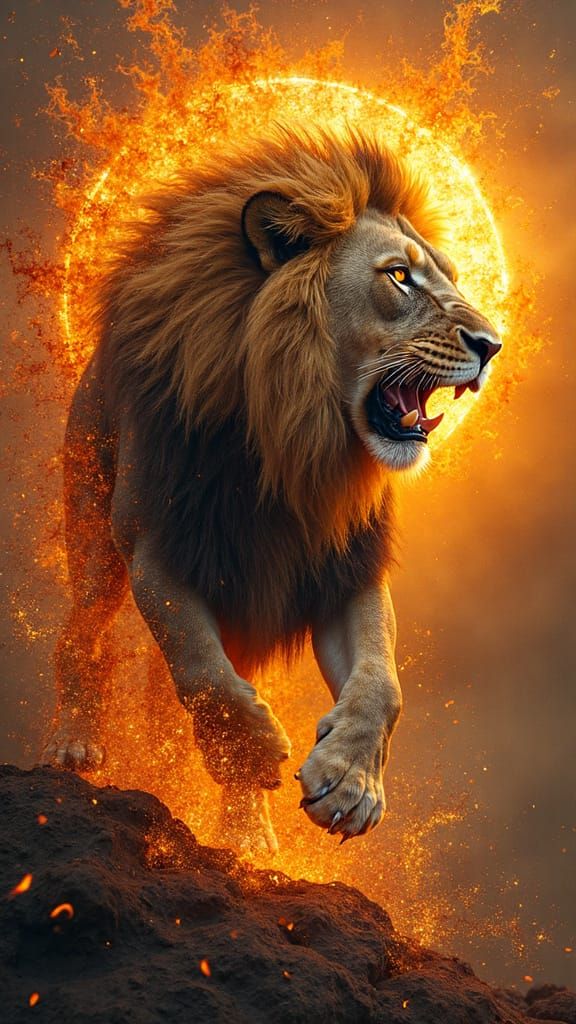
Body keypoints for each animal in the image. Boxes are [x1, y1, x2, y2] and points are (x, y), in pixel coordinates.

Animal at [41, 125, 501, 854]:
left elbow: (381, 685)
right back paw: (75, 745)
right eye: (399, 276)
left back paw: (247, 837)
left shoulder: (347, 572)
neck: (298, 442)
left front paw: (350, 786)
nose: (492, 344)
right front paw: (255, 750)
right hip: (94, 535)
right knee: (81, 633)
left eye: (451, 277)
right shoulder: (158, 549)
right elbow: (202, 671)